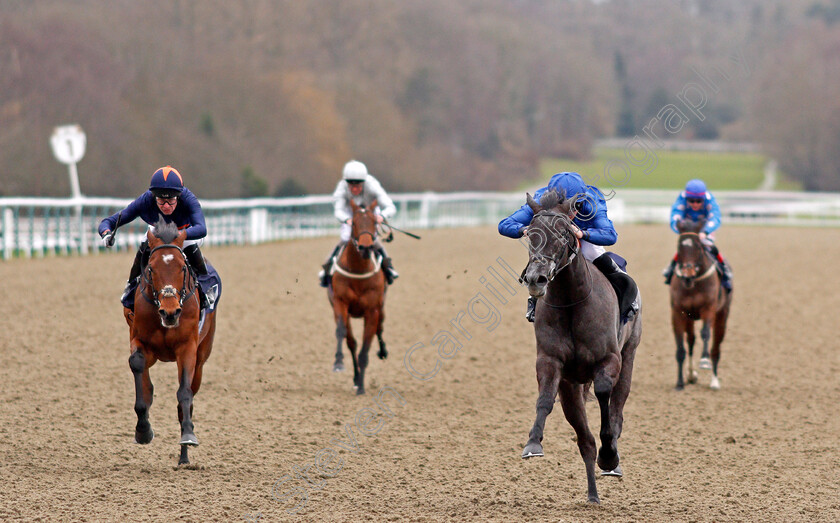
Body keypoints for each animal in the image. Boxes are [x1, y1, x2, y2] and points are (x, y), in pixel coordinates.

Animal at [124, 217, 218, 466]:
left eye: (182, 267)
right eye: (151, 268)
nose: (170, 312)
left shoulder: (187, 348)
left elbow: (184, 393)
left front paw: (188, 436)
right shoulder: (140, 341)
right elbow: (138, 370)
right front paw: (143, 430)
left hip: (202, 357)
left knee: (189, 396)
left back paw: (184, 456)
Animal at [328, 200, 388, 392]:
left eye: (375, 222)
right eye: (353, 223)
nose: (365, 247)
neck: (358, 271)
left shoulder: (372, 310)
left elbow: (366, 343)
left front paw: (361, 385)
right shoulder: (340, 303)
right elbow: (345, 337)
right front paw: (339, 363)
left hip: (381, 307)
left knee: (379, 328)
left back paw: (383, 351)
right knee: (352, 341)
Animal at [520, 190, 644, 506]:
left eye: (564, 233)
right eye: (530, 234)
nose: (537, 279)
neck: (572, 301)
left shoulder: (609, 359)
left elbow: (604, 395)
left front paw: (609, 455)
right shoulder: (551, 361)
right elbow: (544, 399)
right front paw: (533, 442)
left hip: (630, 355)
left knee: (617, 408)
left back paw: (610, 460)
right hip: (572, 388)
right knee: (585, 441)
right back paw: (592, 495)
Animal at [672, 219, 732, 390]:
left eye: (698, 246)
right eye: (679, 246)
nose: (688, 276)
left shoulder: (708, 308)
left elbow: (705, 332)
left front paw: (704, 360)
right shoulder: (678, 312)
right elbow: (681, 348)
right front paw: (680, 382)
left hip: (722, 316)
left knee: (716, 347)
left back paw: (714, 381)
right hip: (690, 318)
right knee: (691, 340)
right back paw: (691, 375)